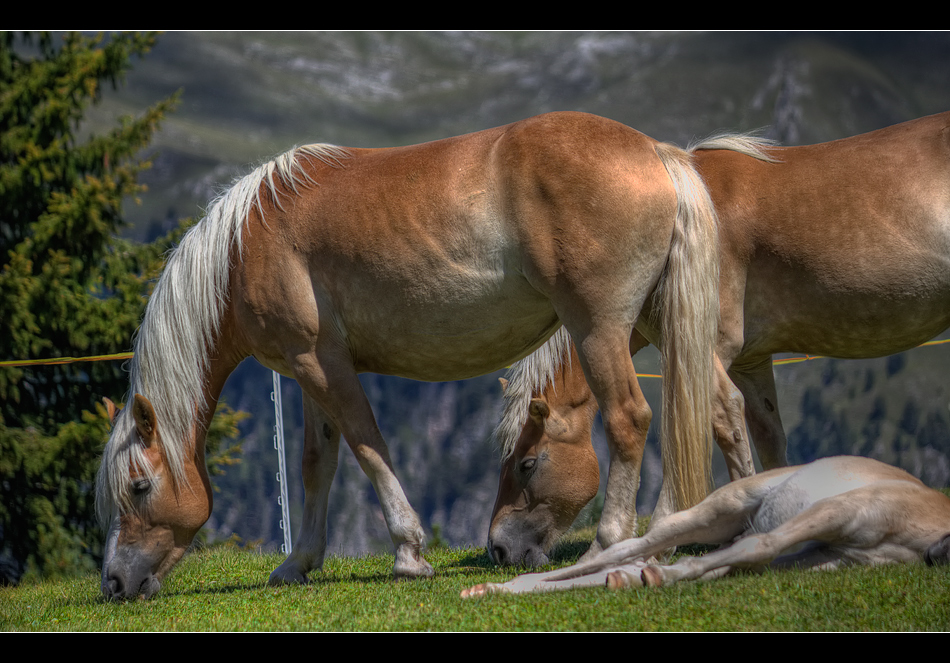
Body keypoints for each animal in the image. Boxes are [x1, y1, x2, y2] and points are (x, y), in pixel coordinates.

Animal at [95, 111, 720, 600]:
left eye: (139, 487)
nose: (114, 583)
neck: (244, 246)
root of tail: (654, 152)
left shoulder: (323, 366)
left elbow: (369, 448)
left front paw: (409, 553)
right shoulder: (307, 371)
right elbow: (316, 464)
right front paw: (298, 563)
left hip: (598, 329)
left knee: (628, 419)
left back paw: (608, 547)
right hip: (654, 324)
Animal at [488, 111, 950, 568]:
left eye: (527, 464)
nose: (498, 548)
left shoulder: (707, 351)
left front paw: (664, 536)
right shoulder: (750, 364)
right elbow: (767, 437)